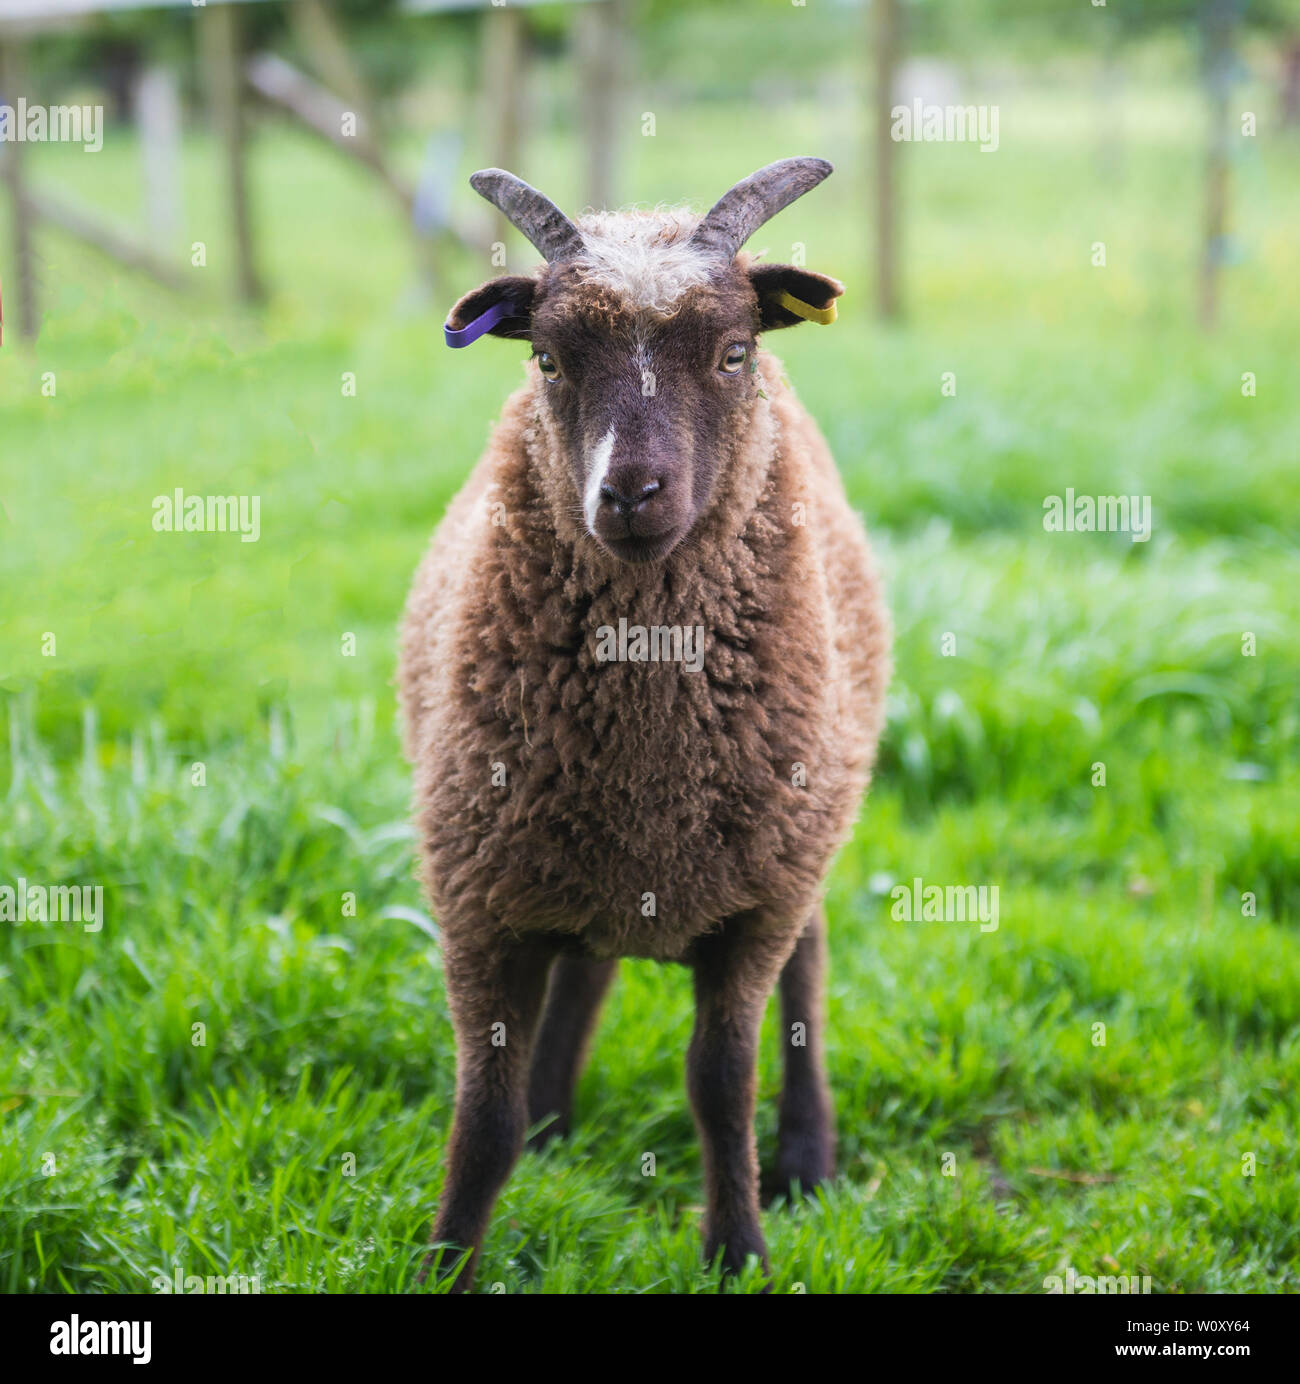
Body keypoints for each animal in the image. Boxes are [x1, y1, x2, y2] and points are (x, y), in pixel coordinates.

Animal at [398, 157, 897, 1289]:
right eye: (545, 358)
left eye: (734, 351)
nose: (630, 493)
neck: (646, 756)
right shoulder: (481, 898)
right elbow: (480, 1119)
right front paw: (447, 1260)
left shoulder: (754, 904)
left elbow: (719, 1084)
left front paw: (737, 1248)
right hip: (575, 856)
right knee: (587, 962)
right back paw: (553, 1122)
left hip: (801, 827)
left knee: (809, 966)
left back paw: (806, 1155)